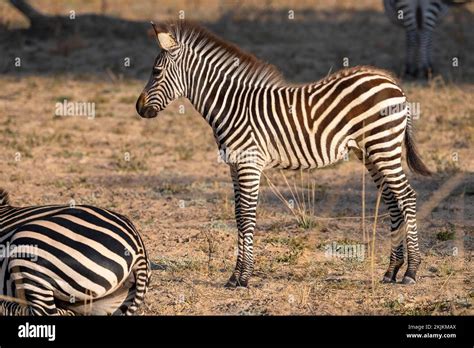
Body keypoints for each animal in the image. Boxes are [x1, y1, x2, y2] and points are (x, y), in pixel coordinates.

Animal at [135, 21, 432, 288]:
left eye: (156, 71)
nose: (138, 108)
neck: (232, 106)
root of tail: (391, 82)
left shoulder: (249, 164)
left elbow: (247, 216)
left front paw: (243, 278)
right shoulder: (235, 165)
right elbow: (238, 216)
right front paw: (234, 276)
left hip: (383, 146)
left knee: (407, 197)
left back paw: (411, 272)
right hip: (371, 152)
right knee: (393, 201)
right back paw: (391, 271)